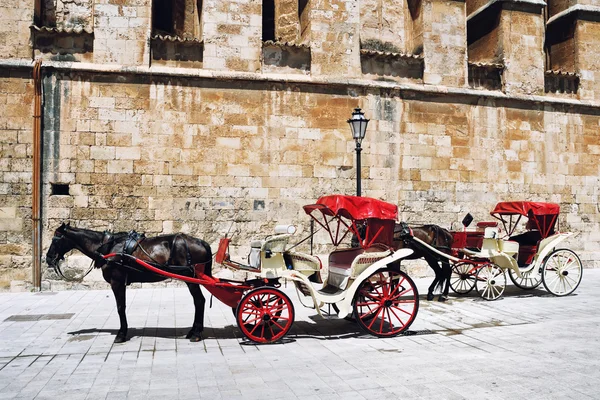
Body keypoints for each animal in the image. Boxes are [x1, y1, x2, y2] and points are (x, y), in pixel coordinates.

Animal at [45, 223, 212, 342]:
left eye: (55, 239)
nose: (48, 258)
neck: (108, 248)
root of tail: (202, 242)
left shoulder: (117, 282)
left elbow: (120, 308)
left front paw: (121, 334)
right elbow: (122, 307)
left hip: (191, 279)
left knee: (199, 301)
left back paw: (196, 333)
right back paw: (193, 331)